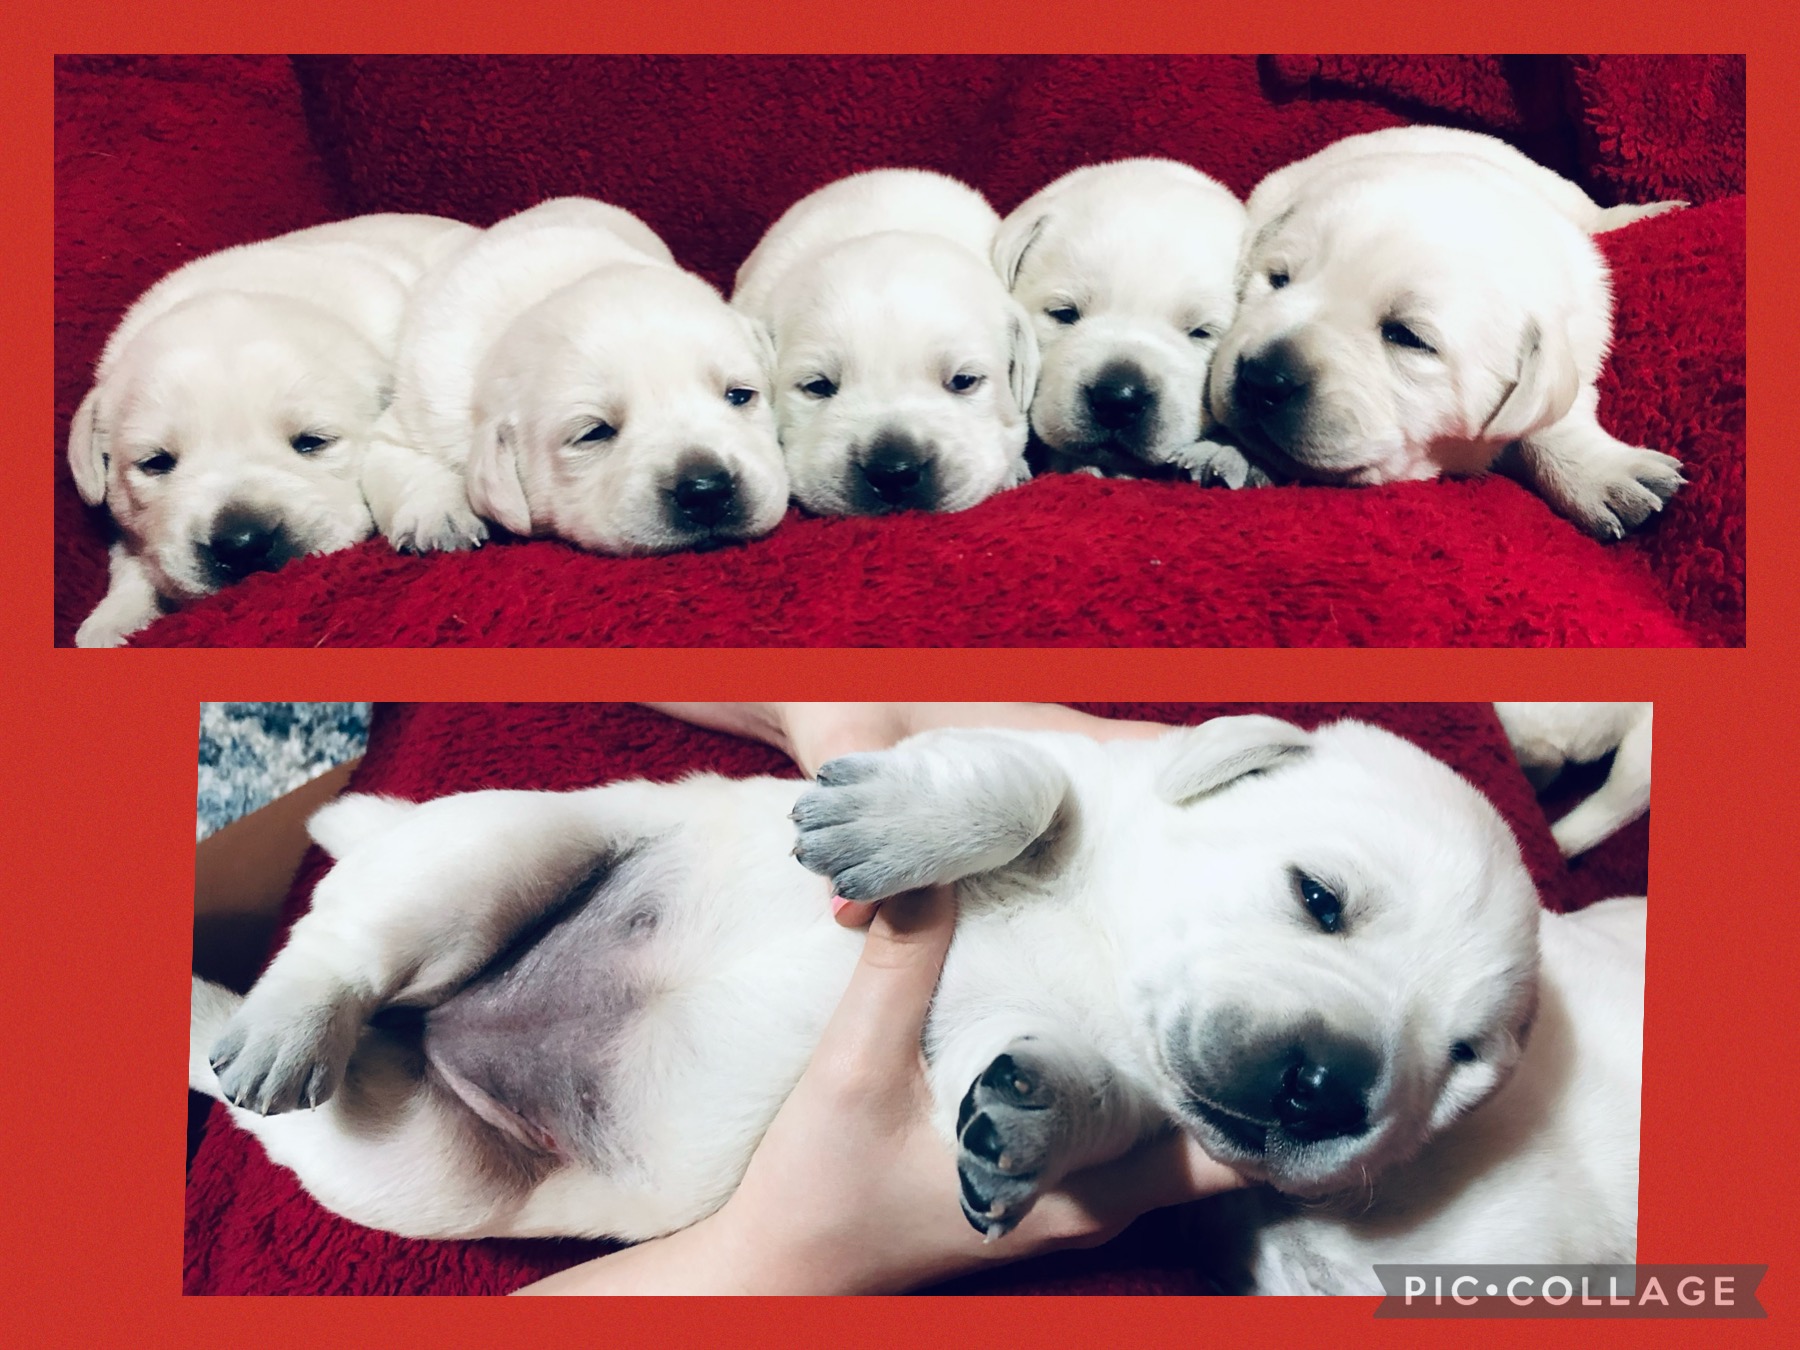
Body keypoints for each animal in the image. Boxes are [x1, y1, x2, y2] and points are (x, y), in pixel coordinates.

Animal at [66, 214, 475, 647]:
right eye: (156, 462)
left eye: (312, 442)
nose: (242, 545)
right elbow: (130, 553)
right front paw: (116, 620)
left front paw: (434, 510)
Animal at [188, 714, 1637, 1294]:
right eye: (1319, 897)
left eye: (1464, 1059)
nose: (1331, 1086)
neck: (1111, 949)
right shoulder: (1056, 756)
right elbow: (1022, 779)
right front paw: (892, 825)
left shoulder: (1109, 1107)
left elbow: (1084, 1098)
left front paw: (1036, 1115)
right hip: (512, 846)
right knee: (347, 943)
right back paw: (275, 1015)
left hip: (427, 1159)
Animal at [369, 197, 787, 556]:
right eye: (594, 432)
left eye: (740, 395)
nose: (705, 490)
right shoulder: (419, 411)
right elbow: (398, 456)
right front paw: (438, 517)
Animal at [1204, 127, 1686, 538]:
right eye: (1278, 280)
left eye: (1407, 337)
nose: (1261, 379)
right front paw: (1229, 452)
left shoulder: (1577, 337)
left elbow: (1556, 412)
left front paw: (1601, 473)